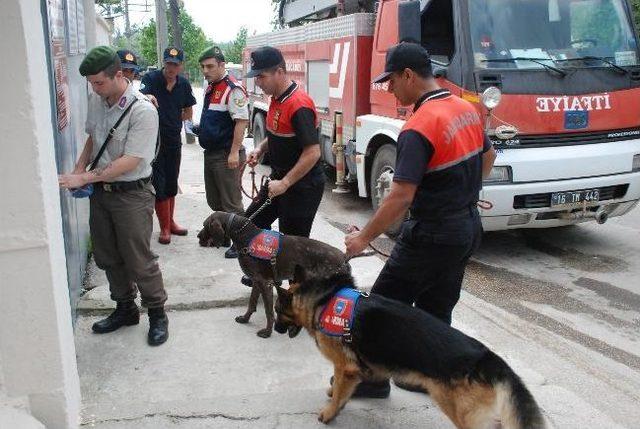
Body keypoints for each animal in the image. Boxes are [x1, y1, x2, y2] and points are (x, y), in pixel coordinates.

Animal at [199, 211, 350, 338]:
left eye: (205, 225)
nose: (198, 236)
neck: (246, 236)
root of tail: (344, 257)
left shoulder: (266, 283)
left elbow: (269, 312)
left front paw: (267, 332)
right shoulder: (257, 281)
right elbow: (251, 303)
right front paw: (245, 318)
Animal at [274, 268, 544, 428]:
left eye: (277, 310)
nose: (275, 329)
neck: (322, 300)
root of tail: (488, 358)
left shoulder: (346, 367)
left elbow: (340, 391)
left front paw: (329, 413)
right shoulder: (354, 369)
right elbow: (342, 387)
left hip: (461, 412)